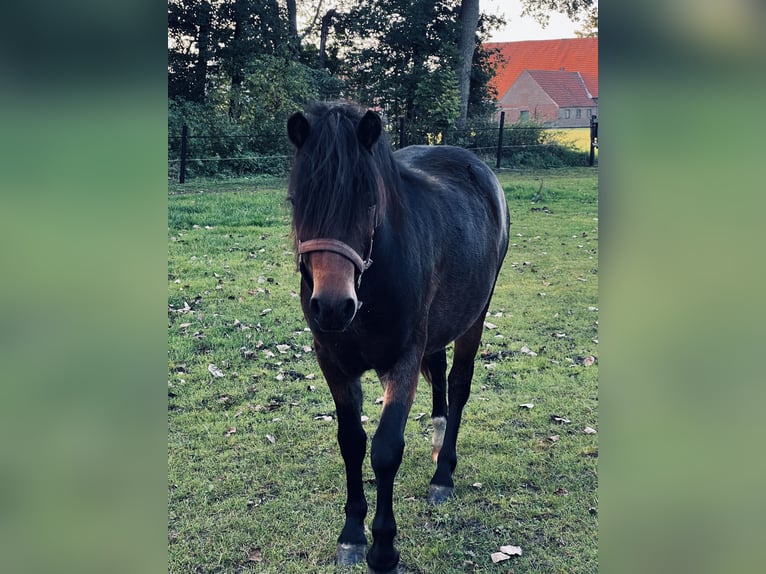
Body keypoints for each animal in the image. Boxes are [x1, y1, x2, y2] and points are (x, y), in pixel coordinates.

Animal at [288, 101, 510, 572]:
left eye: (370, 201)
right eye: (297, 201)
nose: (332, 306)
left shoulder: (403, 359)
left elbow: (386, 449)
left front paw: (384, 548)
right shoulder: (332, 361)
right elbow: (351, 443)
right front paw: (352, 535)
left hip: (476, 316)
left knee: (459, 385)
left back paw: (443, 474)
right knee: (441, 373)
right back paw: (439, 439)